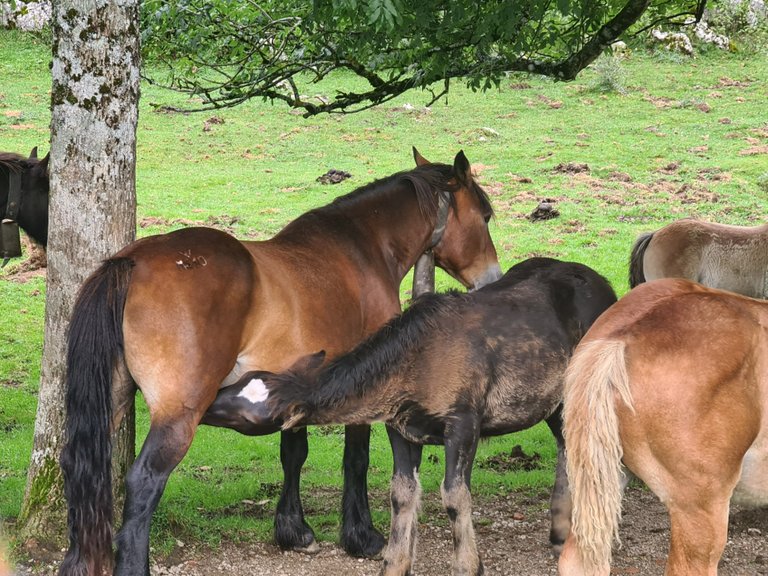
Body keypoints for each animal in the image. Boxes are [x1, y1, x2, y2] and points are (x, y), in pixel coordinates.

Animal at [61, 150, 504, 576]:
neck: (361, 250)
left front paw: (294, 531)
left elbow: (294, 453)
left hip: (115, 401)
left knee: (77, 465)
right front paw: (360, 536)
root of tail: (133, 261)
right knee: (144, 481)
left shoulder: (298, 384)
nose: (492, 279)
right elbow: (355, 459)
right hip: (179, 415)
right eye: (485, 215)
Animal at [207, 258, 616, 576]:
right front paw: (395, 563)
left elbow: (454, 496)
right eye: (240, 382)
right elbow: (402, 494)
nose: (208, 402)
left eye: (246, 413)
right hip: (555, 403)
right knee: (568, 444)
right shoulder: (401, 428)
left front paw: (469, 565)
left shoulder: (463, 424)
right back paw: (561, 532)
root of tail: (606, 286)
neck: (416, 363)